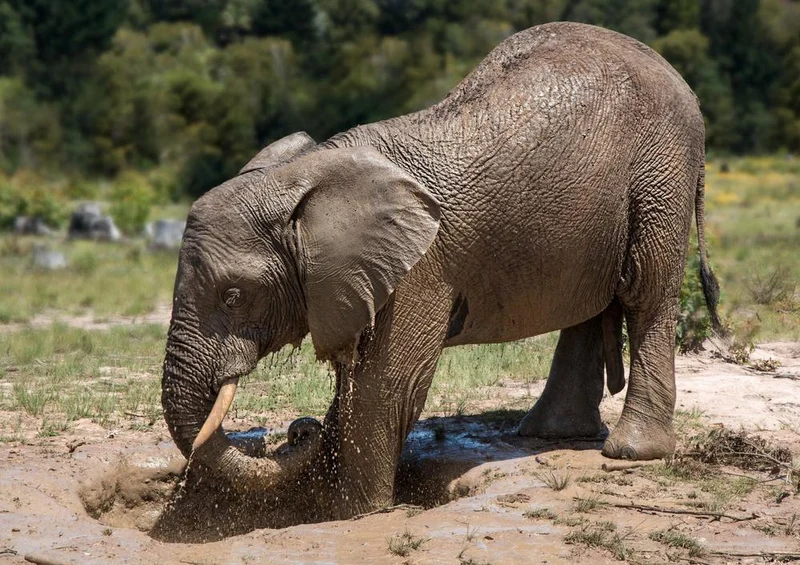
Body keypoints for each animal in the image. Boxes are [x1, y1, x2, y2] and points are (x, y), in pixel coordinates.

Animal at [161, 21, 721, 522]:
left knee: (646, 292)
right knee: (587, 306)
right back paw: (548, 433)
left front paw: (354, 514)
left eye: (234, 295)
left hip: (661, 170)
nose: (297, 429)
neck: (307, 176)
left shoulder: (419, 267)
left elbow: (386, 384)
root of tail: (682, 82)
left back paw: (629, 451)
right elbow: (355, 380)